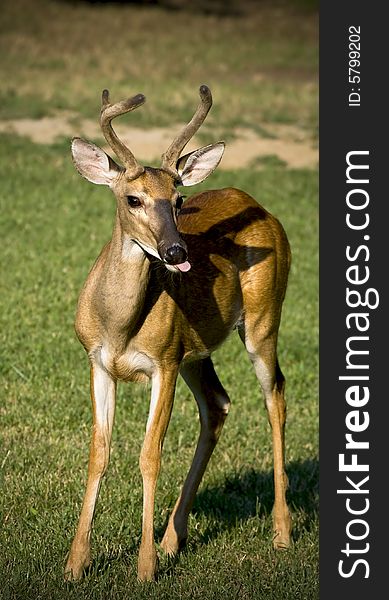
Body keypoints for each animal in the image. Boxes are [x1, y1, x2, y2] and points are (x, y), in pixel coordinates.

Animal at [65, 84, 292, 580]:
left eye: (179, 199)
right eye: (133, 199)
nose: (175, 251)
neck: (121, 328)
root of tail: (262, 208)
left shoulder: (163, 362)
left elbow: (149, 455)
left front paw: (145, 566)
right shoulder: (97, 361)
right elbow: (98, 453)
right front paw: (76, 561)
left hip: (263, 320)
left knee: (276, 396)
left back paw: (282, 532)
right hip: (197, 350)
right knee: (218, 403)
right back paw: (174, 538)